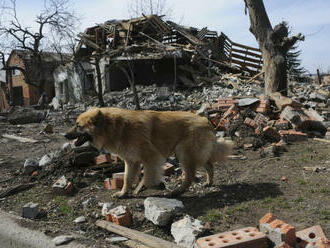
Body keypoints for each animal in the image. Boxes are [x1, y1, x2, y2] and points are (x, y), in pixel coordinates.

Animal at [63, 107, 229, 199]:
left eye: (78, 126)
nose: (64, 135)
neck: (117, 127)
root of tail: (206, 121)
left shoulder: (151, 158)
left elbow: (148, 178)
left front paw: (145, 187)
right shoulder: (131, 161)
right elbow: (126, 179)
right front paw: (123, 193)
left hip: (183, 153)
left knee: (190, 176)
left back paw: (178, 191)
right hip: (190, 154)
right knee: (209, 165)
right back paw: (208, 182)